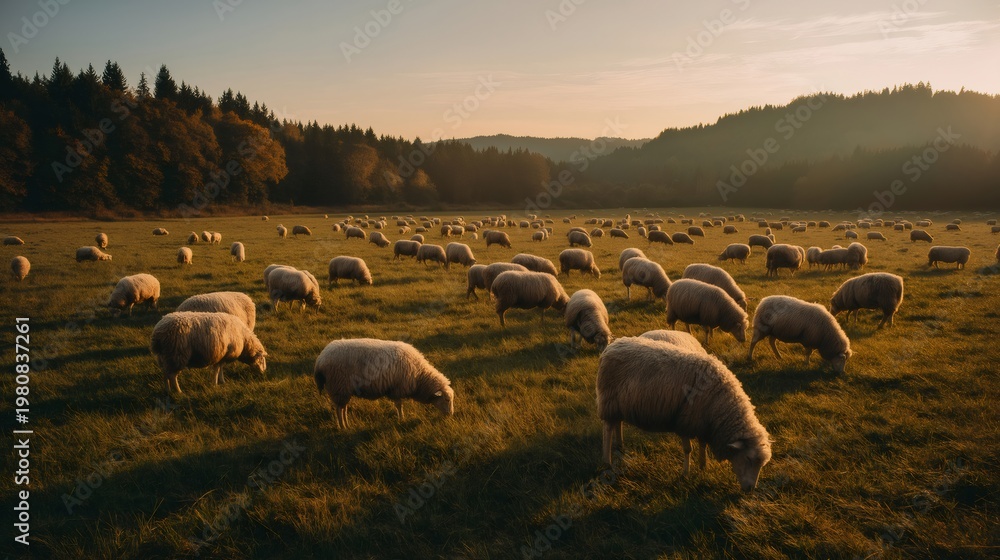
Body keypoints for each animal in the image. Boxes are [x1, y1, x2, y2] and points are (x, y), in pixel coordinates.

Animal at [314, 338, 453, 429]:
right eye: (446, 399)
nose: (451, 415)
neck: (419, 375)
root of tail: (320, 359)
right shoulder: (397, 388)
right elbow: (399, 405)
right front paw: (401, 419)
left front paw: (400, 418)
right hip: (338, 386)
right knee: (338, 409)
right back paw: (342, 426)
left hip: (343, 389)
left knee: (343, 407)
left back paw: (347, 424)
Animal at [596, 337, 771, 491]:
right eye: (748, 458)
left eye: (761, 464)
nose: (750, 489)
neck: (719, 402)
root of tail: (612, 346)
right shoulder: (686, 420)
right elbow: (688, 449)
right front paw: (686, 473)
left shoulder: (701, 422)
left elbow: (702, 443)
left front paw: (703, 465)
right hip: (608, 399)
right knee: (607, 429)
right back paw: (607, 461)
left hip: (618, 404)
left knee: (617, 423)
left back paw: (620, 445)